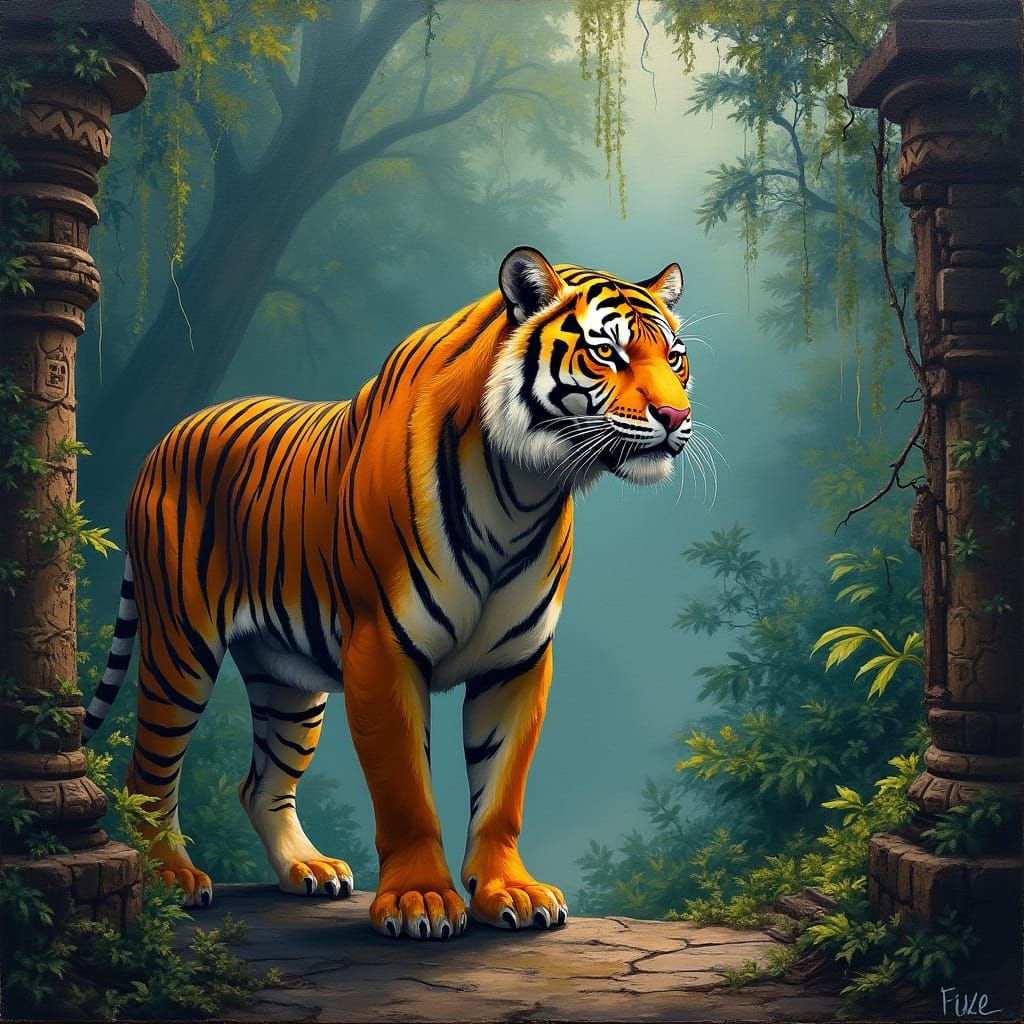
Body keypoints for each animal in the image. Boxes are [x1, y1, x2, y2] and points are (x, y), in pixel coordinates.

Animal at [83, 246, 693, 940]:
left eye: (674, 357)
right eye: (608, 353)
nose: (676, 417)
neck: (524, 488)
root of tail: (167, 437)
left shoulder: (519, 660)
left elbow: (501, 790)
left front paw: (510, 891)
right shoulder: (383, 648)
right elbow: (406, 791)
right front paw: (420, 900)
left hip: (289, 681)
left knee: (260, 784)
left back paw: (308, 870)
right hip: (180, 649)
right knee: (149, 768)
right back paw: (171, 876)